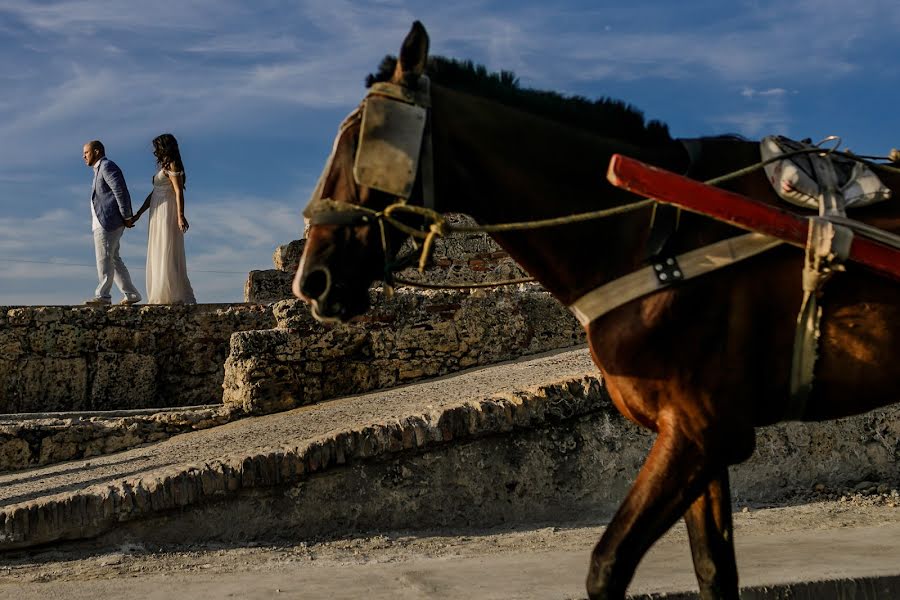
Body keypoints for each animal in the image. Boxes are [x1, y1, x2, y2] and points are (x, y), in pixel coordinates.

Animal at [294, 21, 900, 596]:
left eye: (367, 141)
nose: (311, 279)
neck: (653, 228)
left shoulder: (703, 430)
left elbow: (607, 565)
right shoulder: (699, 438)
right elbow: (713, 571)